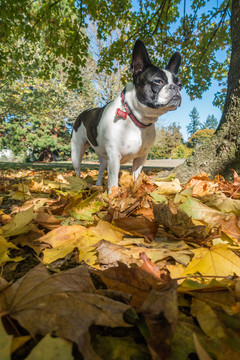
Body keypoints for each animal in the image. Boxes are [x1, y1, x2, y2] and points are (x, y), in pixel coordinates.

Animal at [71, 39, 182, 191]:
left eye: (180, 84)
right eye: (158, 81)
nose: (176, 88)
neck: (136, 118)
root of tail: (84, 112)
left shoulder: (141, 158)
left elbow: (136, 178)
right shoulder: (114, 157)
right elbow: (113, 183)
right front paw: (113, 196)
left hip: (103, 157)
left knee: (101, 168)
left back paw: (98, 186)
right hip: (77, 151)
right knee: (77, 170)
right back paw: (77, 186)